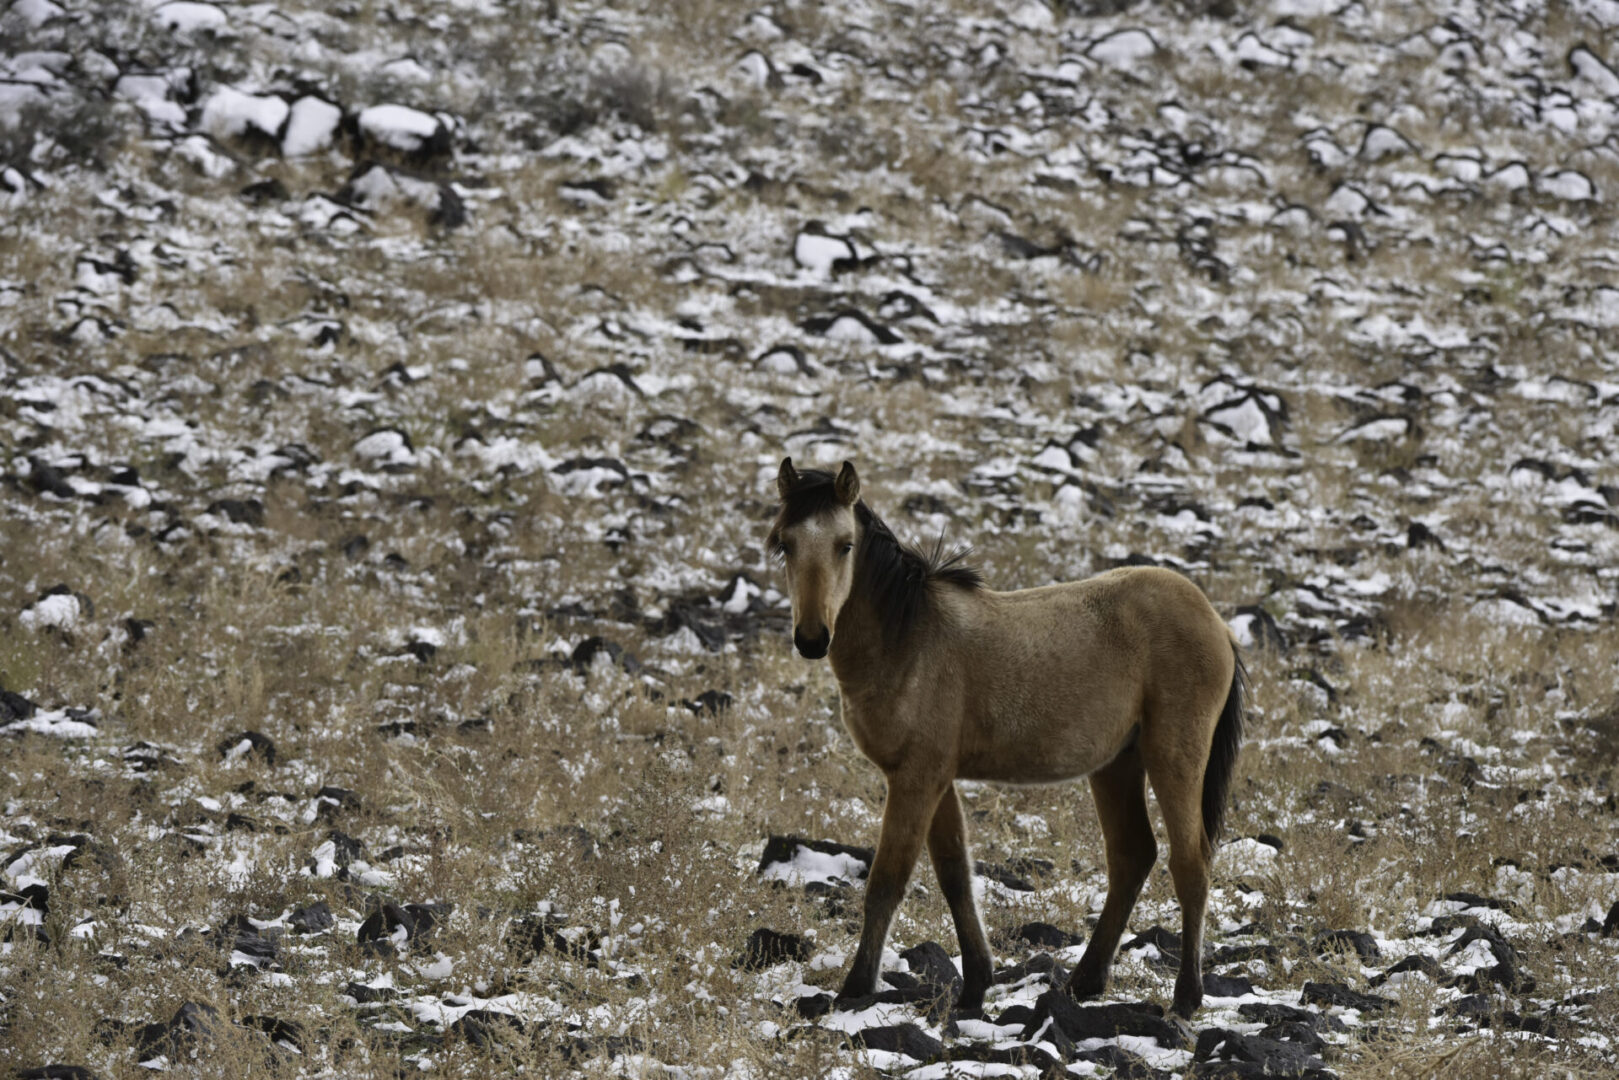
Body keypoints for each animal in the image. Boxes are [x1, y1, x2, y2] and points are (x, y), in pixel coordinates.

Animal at [764, 459, 1243, 1016]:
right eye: (786, 544)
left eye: (844, 545)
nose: (812, 638)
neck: (908, 640)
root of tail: (1216, 623)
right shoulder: (934, 778)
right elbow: (954, 874)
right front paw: (975, 984)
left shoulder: (916, 777)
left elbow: (888, 879)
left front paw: (854, 988)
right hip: (1117, 763)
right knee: (1131, 856)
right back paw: (1084, 982)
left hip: (1174, 755)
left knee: (1190, 863)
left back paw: (1185, 998)